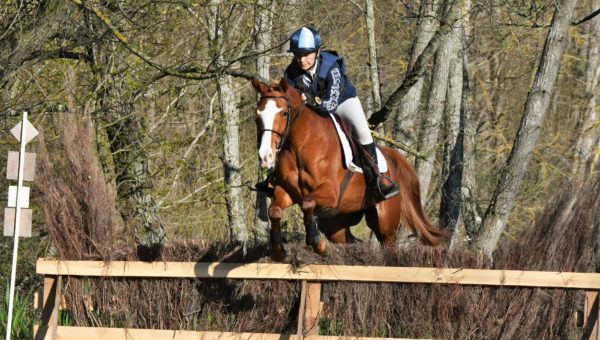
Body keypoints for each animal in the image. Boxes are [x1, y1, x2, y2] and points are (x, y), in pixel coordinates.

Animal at [251, 78, 442, 258]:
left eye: (283, 113)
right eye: (257, 115)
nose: (266, 156)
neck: (300, 145)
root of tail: (391, 156)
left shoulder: (330, 193)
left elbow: (307, 204)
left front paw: (318, 244)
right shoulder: (288, 192)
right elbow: (274, 211)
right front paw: (278, 251)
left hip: (385, 224)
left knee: (387, 242)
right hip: (336, 223)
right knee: (352, 241)